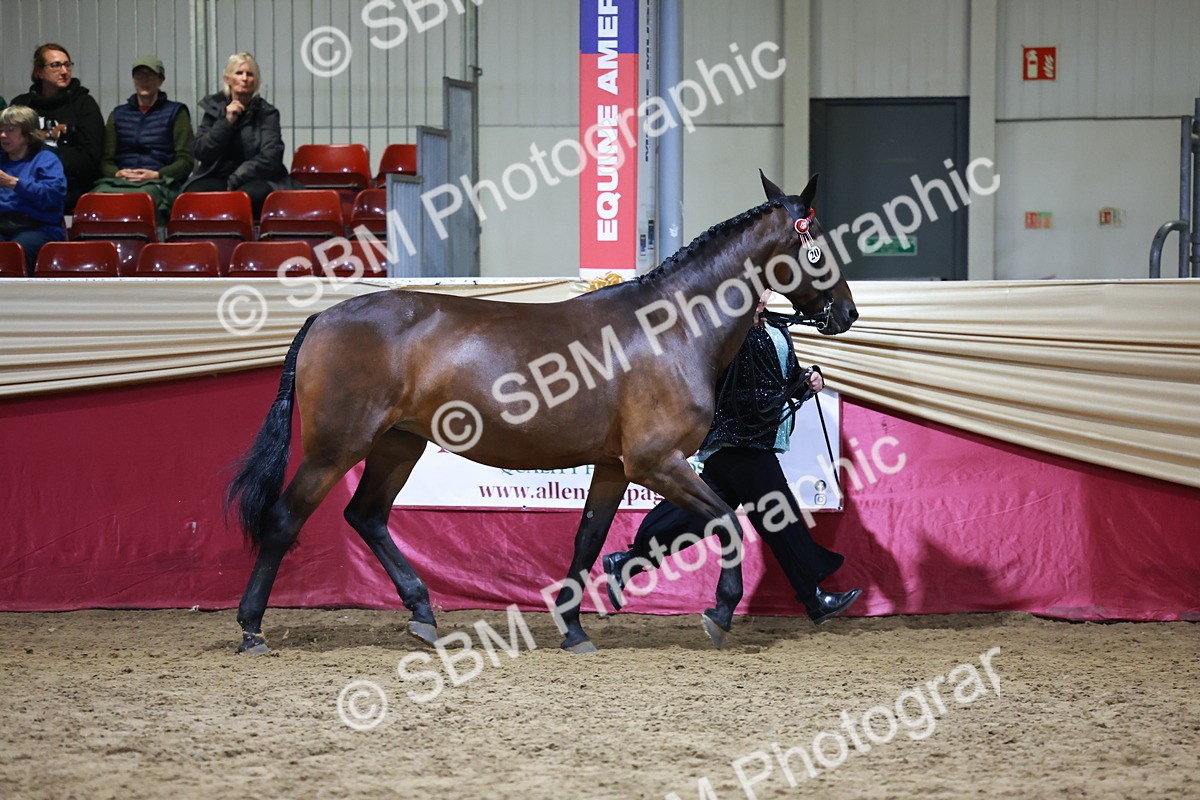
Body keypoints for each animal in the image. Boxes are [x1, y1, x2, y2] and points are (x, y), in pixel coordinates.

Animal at [226, 171, 858, 655]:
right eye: (820, 242)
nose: (846, 312)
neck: (671, 327)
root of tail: (323, 318)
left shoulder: (616, 466)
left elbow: (589, 539)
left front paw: (574, 626)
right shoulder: (656, 461)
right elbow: (726, 520)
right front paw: (720, 613)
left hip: (397, 443)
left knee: (367, 516)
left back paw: (423, 614)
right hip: (337, 447)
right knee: (285, 520)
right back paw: (252, 628)